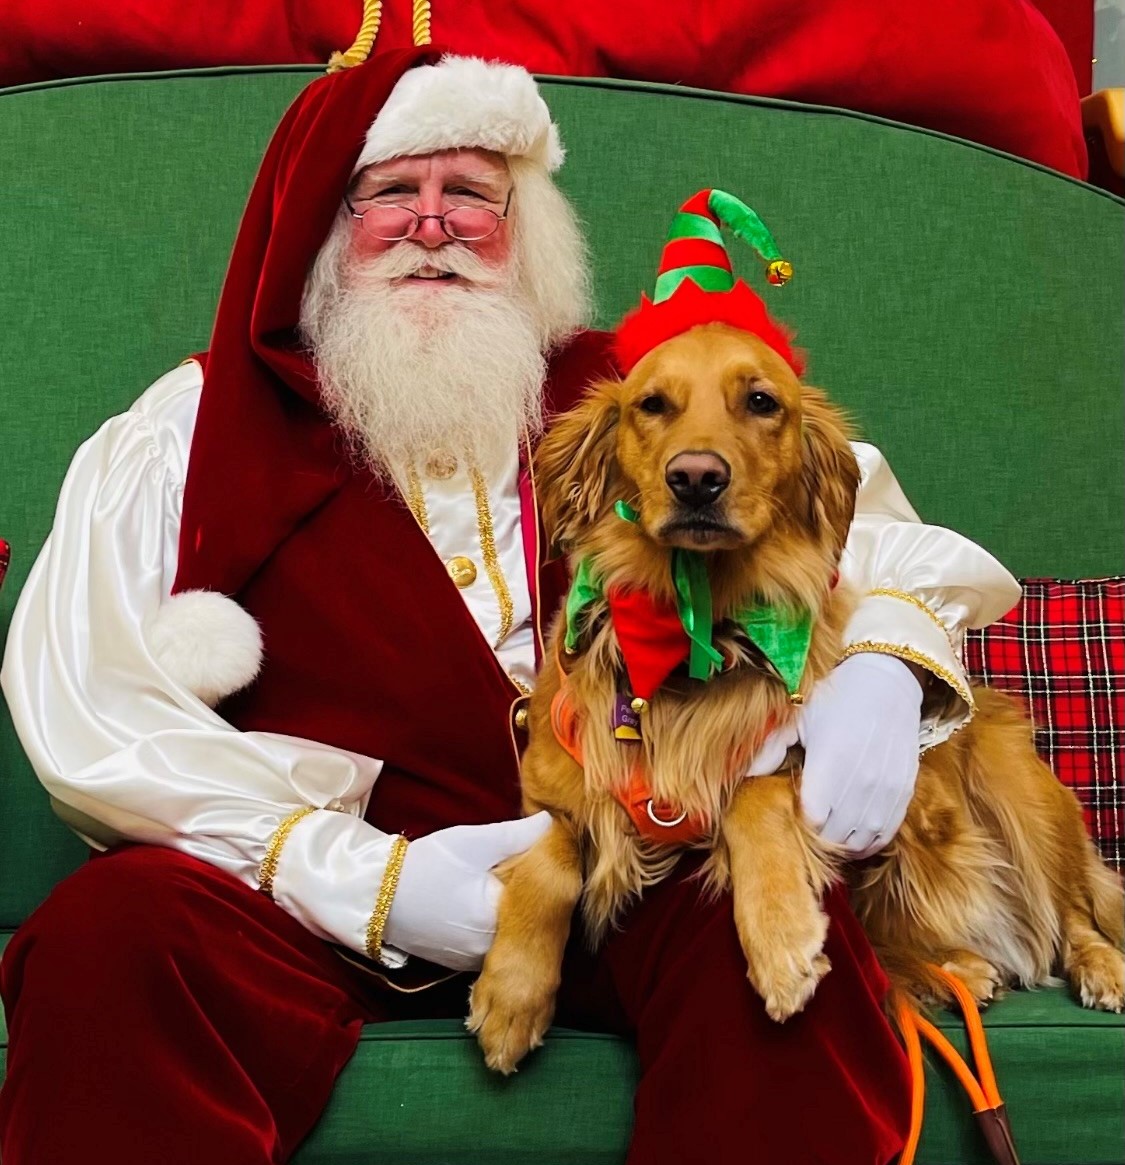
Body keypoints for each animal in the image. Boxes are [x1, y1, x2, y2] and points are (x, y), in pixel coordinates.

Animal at [463, 321, 1118, 1071]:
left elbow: (752, 795)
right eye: (651, 404)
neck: (695, 637)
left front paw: (780, 941)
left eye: (760, 401)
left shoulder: (795, 763)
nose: (696, 478)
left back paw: (1099, 966)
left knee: (1073, 911)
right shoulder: (552, 786)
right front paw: (511, 992)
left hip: (1018, 787)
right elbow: (548, 855)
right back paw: (957, 967)